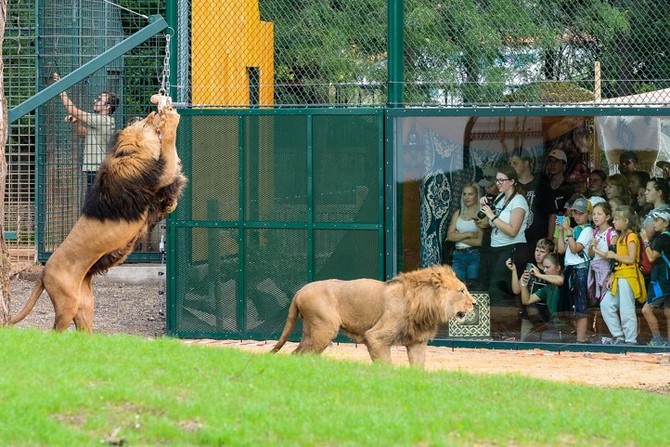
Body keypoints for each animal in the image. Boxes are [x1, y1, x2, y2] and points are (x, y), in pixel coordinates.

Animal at [10, 95, 188, 332]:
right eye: (142, 125)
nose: (148, 113)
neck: (130, 155)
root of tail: (44, 271)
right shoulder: (159, 173)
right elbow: (169, 147)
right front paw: (170, 117)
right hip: (66, 303)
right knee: (55, 332)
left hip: (85, 304)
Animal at [272, 266, 478, 368]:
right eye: (461, 291)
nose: (475, 303)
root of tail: (300, 291)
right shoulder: (376, 337)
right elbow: (385, 365)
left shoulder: (417, 343)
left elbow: (418, 368)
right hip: (324, 329)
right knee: (304, 354)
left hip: (311, 331)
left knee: (296, 354)